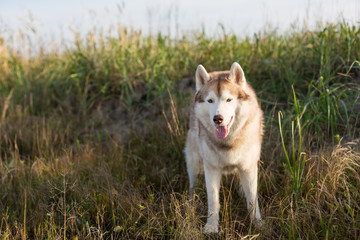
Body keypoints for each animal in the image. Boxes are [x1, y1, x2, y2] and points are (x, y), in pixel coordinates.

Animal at [184, 61, 262, 232]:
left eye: (228, 100)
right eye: (210, 100)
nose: (217, 119)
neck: (228, 142)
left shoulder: (248, 167)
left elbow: (253, 199)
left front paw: (258, 224)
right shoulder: (211, 168)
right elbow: (213, 200)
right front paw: (211, 226)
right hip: (193, 157)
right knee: (193, 182)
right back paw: (192, 199)